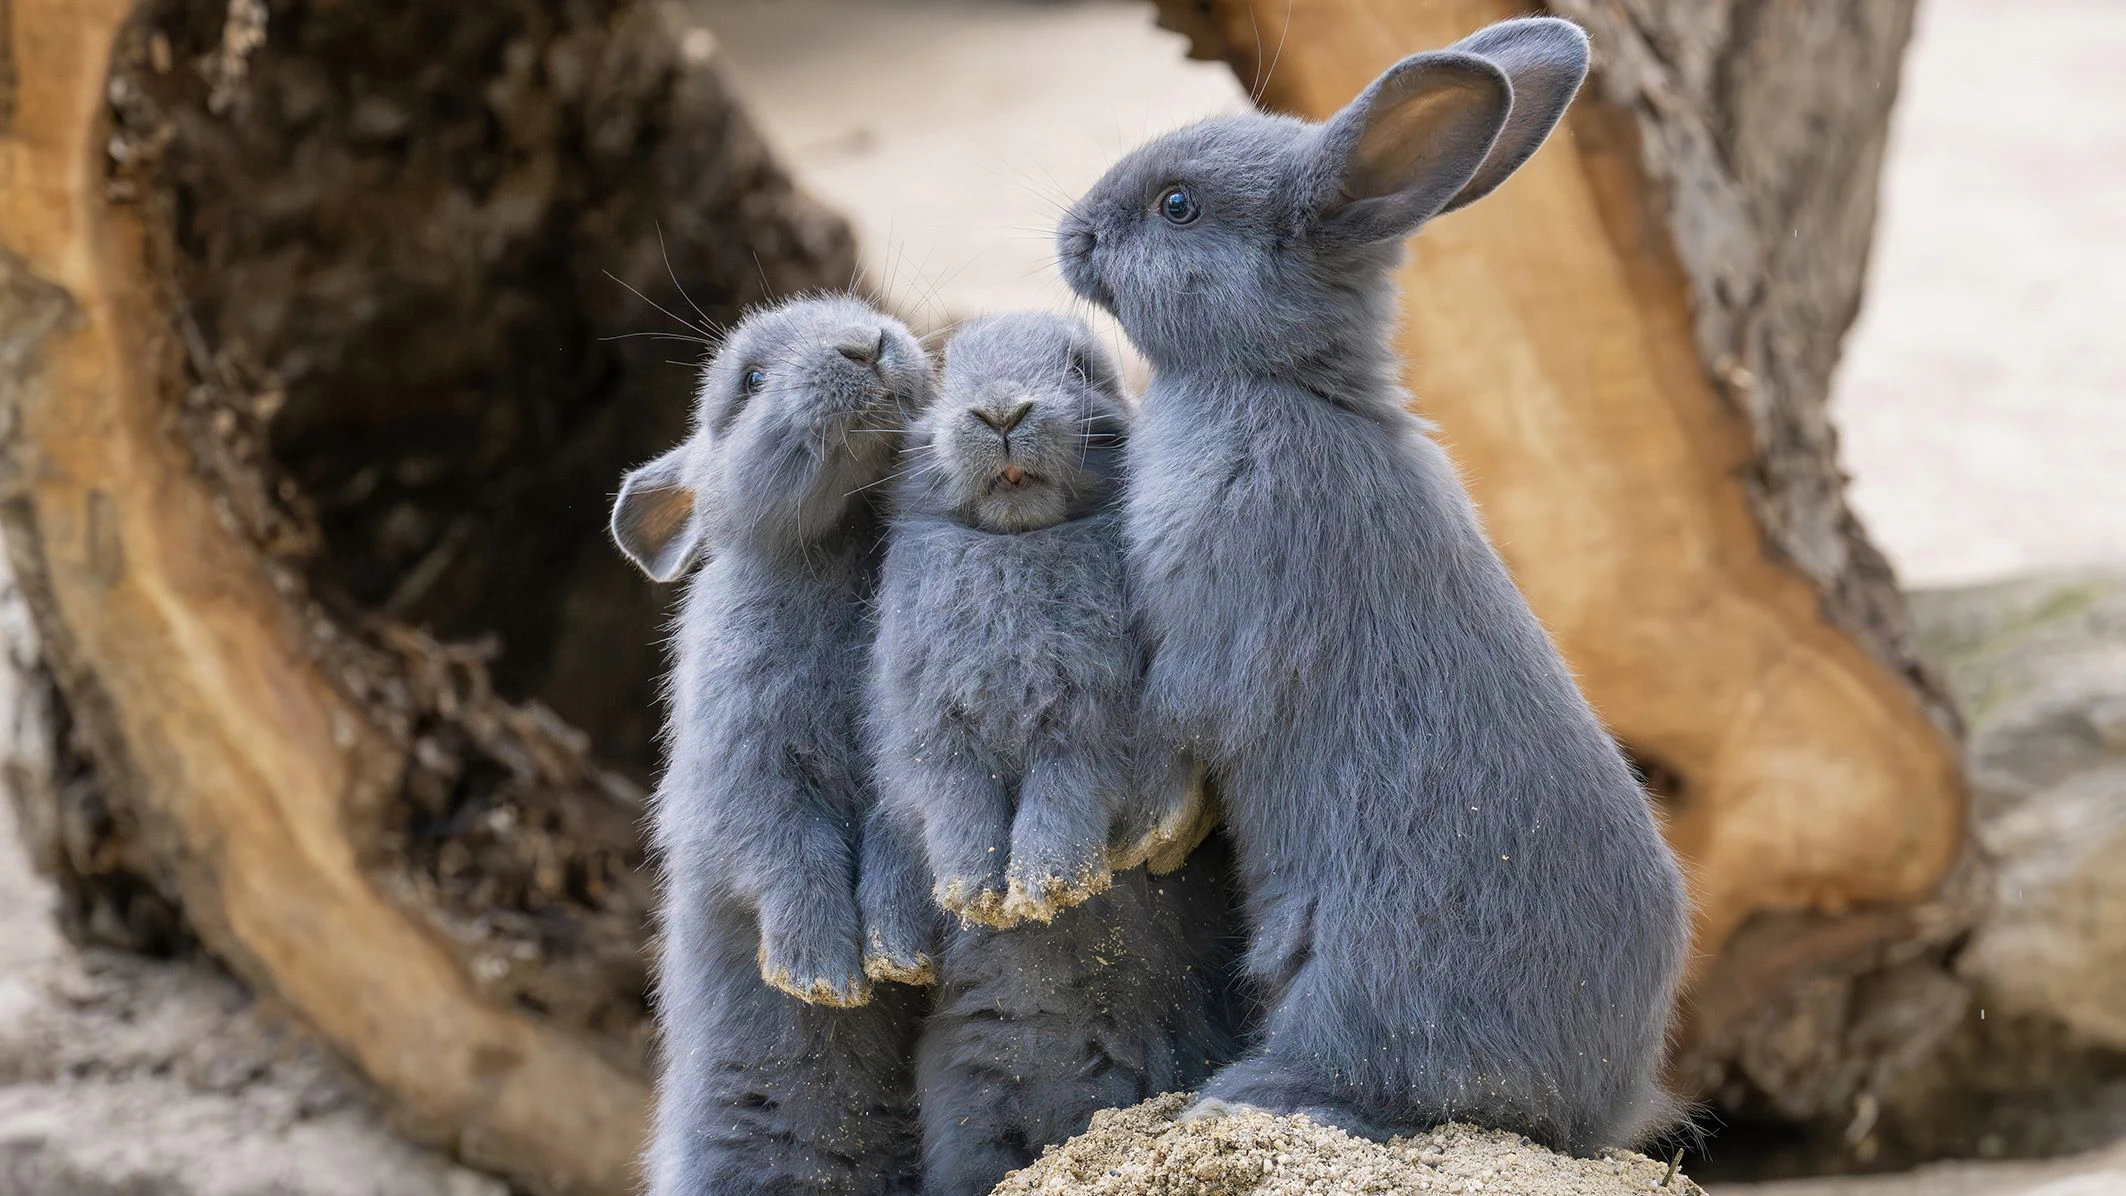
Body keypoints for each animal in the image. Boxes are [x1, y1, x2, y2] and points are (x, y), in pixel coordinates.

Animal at [611, 294, 936, 1196]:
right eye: (751, 381)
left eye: (864, 308)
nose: (868, 343)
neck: (847, 542)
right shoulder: (742, 774)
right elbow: (788, 856)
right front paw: (823, 977)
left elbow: (898, 845)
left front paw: (898, 956)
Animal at [857, 313, 1244, 1196]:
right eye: (947, 373)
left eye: (1082, 368)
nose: (1001, 412)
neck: (1019, 550)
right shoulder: (939, 738)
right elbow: (960, 811)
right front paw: (978, 896)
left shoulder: (1086, 730)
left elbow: (1060, 804)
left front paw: (1043, 890)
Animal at [1053, 17, 1691, 1155]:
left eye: (1177, 206)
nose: (1070, 233)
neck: (1275, 384)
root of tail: (1594, 1102)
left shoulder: (1215, 622)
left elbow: (1179, 718)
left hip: (1357, 975)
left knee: (1377, 1081)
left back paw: (1250, 1096)